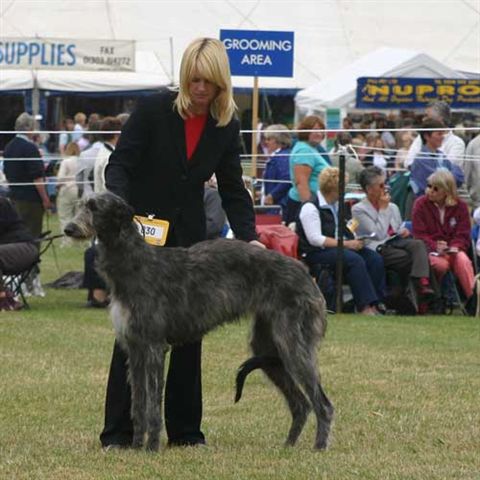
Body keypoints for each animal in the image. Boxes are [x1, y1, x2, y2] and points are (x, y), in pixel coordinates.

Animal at [64, 191, 334, 450]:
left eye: (95, 207)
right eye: (81, 205)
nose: (69, 229)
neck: (134, 261)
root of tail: (307, 275)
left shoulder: (154, 346)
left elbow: (153, 405)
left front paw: (151, 448)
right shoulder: (135, 347)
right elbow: (138, 404)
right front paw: (136, 446)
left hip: (293, 344)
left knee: (323, 404)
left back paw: (319, 447)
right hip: (267, 346)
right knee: (301, 403)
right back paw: (288, 446)